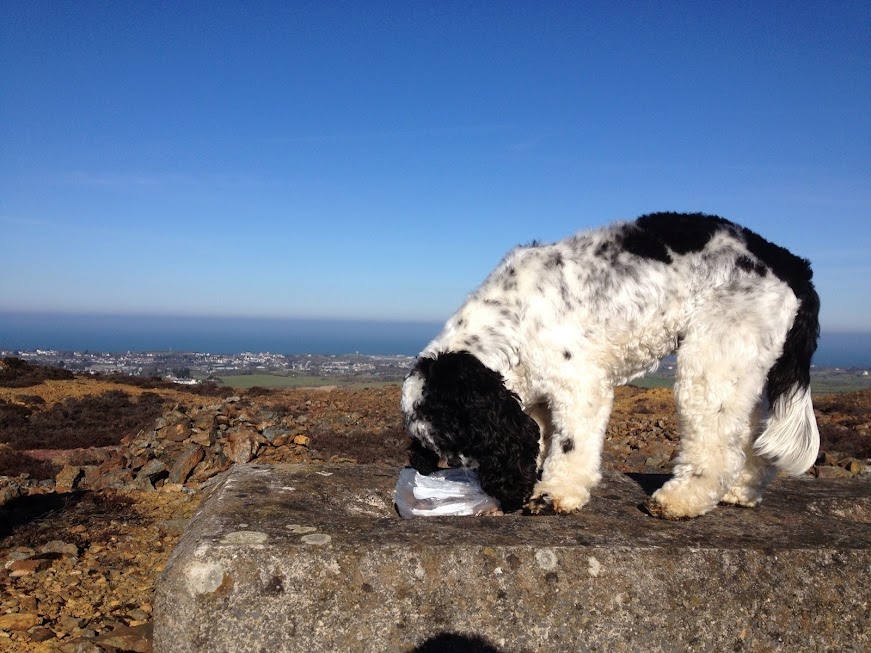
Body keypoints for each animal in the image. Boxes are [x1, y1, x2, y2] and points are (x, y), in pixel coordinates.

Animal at [398, 211, 820, 516]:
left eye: (467, 440)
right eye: (444, 453)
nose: (492, 486)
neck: (510, 323)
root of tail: (790, 262)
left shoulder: (579, 385)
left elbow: (571, 445)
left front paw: (554, 493)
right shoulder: (533, 399)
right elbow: (541, 438)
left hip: (713, 356)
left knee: (717, 445)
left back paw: (679, 500)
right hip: (745, 365)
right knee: (749, 436)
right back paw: (739, 491)